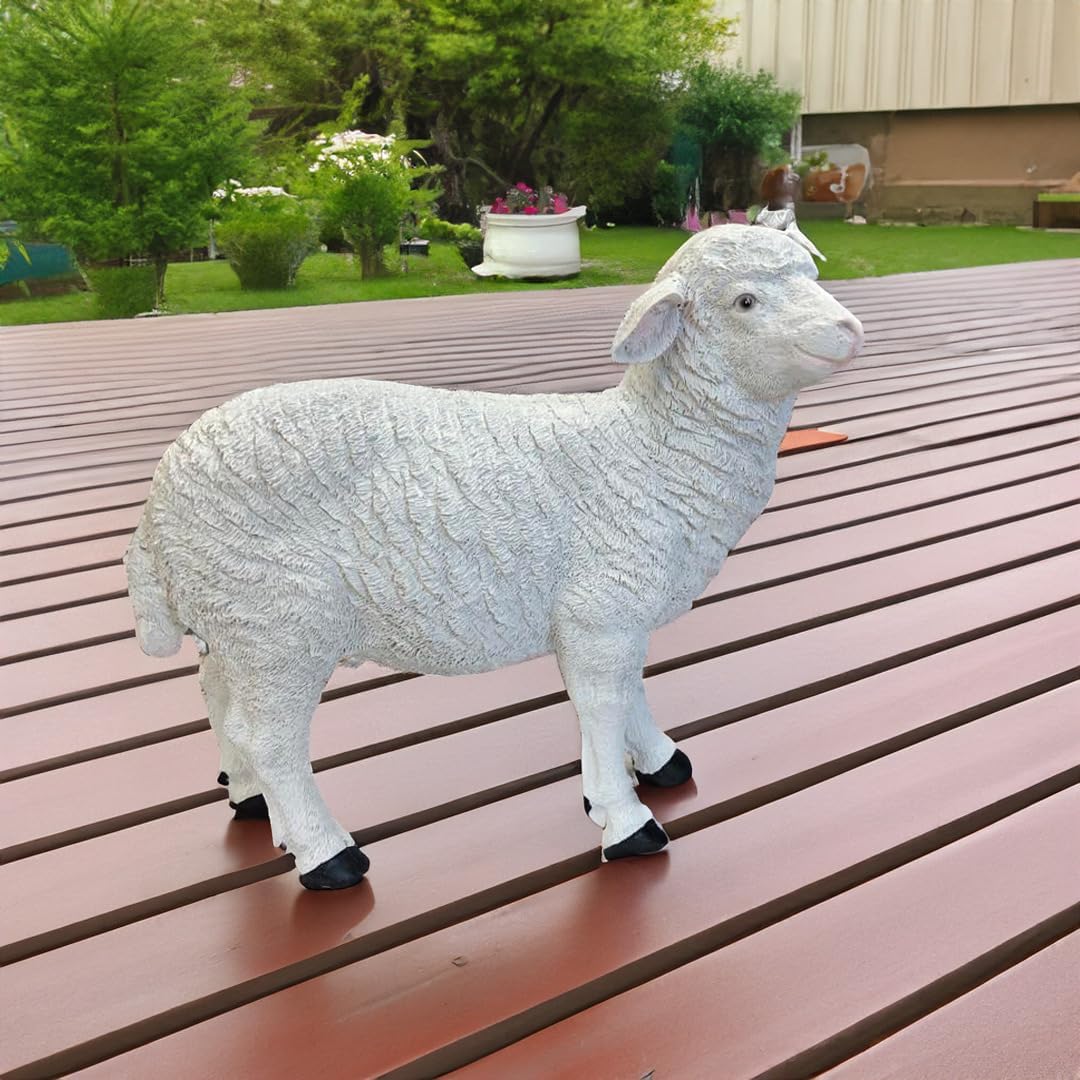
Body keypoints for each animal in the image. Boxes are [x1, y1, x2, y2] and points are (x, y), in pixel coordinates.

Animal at [124, 223, 863, 890]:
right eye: (745, 301)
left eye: (811, 273)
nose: (849, 329)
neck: (646, 449)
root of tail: (160, 502)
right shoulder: (599, 611)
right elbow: (602, 702)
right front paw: (624, 820)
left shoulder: (612, 614)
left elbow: (630, 690)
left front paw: (658, 761)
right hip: (281, 617)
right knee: (271, 738)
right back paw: (327, 855)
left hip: (235, 613)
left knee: (217, 694)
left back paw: (248, 795)